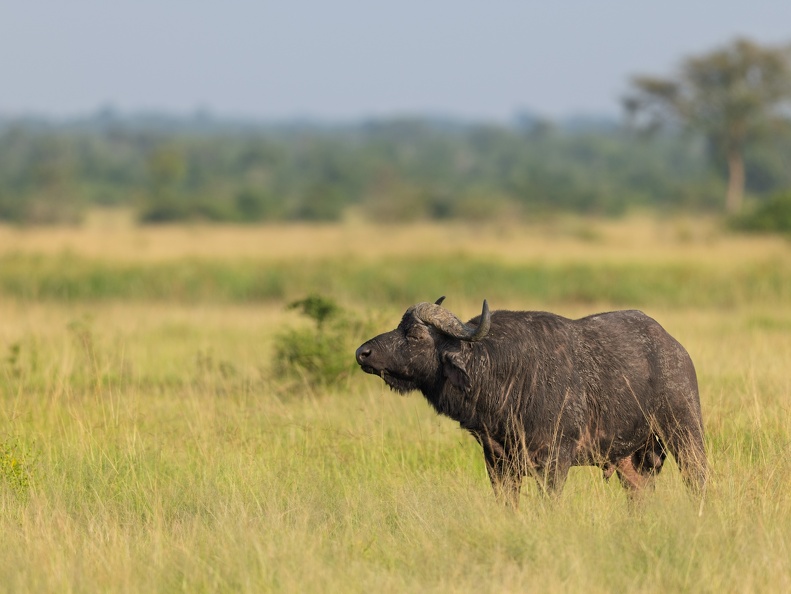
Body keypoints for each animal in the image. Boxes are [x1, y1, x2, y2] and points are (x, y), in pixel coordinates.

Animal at [355, 297, 707, 506]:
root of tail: (675, 348)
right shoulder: (497, 463)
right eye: (399, 327)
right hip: (632, 461)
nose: (362, 352)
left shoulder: (555, 461)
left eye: (415, 334)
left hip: (685, 432)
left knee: (697, 479)